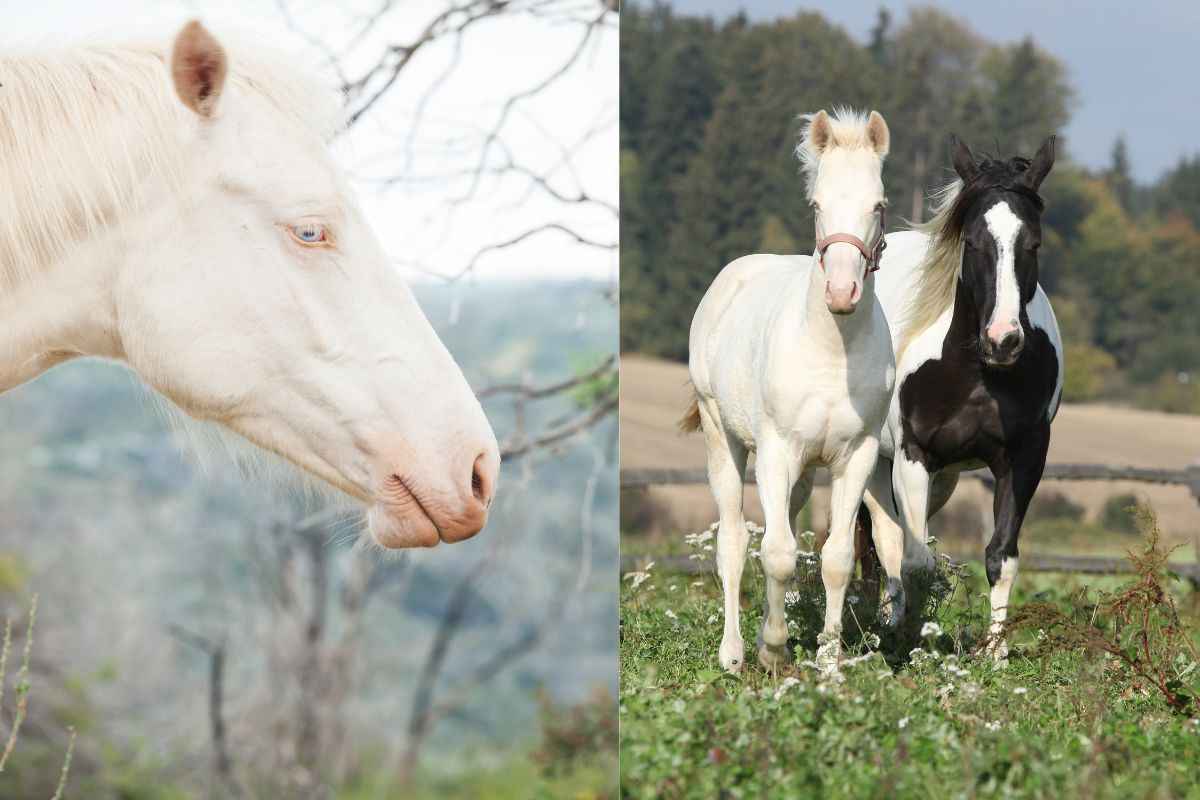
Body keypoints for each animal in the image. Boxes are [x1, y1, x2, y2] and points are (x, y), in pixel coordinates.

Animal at [680, 108, 895, 673]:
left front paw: (829, 660)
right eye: (817, 204)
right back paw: (734, 653)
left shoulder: (856, 456)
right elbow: (774, 554)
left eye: (879, 205)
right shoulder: (776, 449)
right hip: (723, 438)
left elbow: (836, 558)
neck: (832, 353)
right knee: (734, 540)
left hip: (805, 468)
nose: (841, 293)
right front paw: (774, 651)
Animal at [863, 136, 1063, 660]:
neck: (976, 373)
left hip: (941, 478)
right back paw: (883, 624)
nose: (1003, 340)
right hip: (875, 463)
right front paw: (910, 644)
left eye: (1033, 243)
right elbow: (915, 560)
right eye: (972, 242)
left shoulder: (1024, 457)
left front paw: (994, 653)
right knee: (880, 543)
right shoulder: (913, 456)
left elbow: (1001, 555)